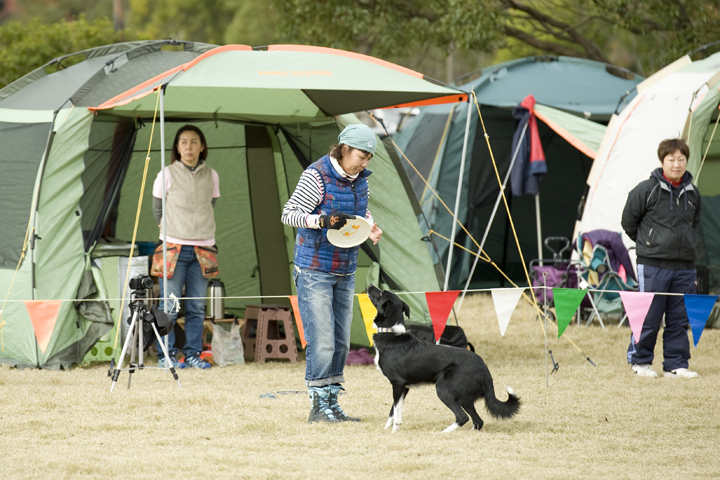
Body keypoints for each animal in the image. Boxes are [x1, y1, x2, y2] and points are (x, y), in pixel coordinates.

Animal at [367, 284, 521, 433]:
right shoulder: (404, 387)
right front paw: (387, 428)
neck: (391, 332)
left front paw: (394, 430)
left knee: (463, 417)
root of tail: (484, 367)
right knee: (478, 421)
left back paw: (442, 433)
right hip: (465, 398)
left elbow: (396, 410)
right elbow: (393, 410)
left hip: (444, 390)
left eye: (381, 293)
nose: (369, 285)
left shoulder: (398, 383)